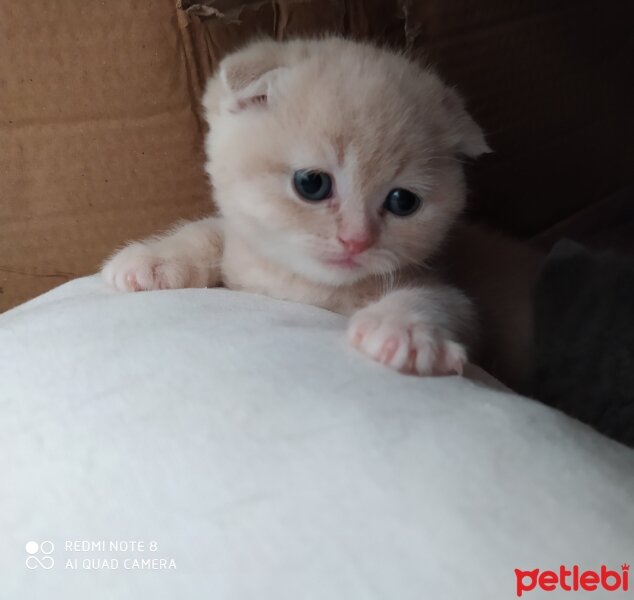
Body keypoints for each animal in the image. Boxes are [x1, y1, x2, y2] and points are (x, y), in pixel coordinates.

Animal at [102, 37, 488, 376]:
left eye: (403, 202)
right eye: (312, 184)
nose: (356, 240)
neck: (301, 287)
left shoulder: (447, 287)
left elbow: (443, 300)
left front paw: (403, 330)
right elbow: (211, 231)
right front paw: (152, 259)